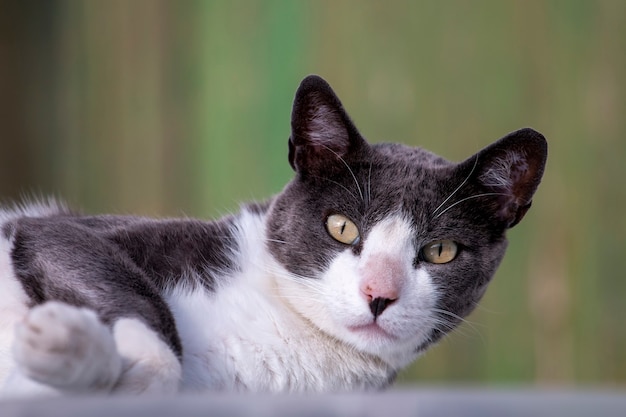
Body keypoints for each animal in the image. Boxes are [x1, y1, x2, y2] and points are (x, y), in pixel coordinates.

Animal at [0, 74, 544, 396]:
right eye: (341, 227)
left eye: (441, 251)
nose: (379, 294)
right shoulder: (61, 230)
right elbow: (85, 258)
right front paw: (64, 343)